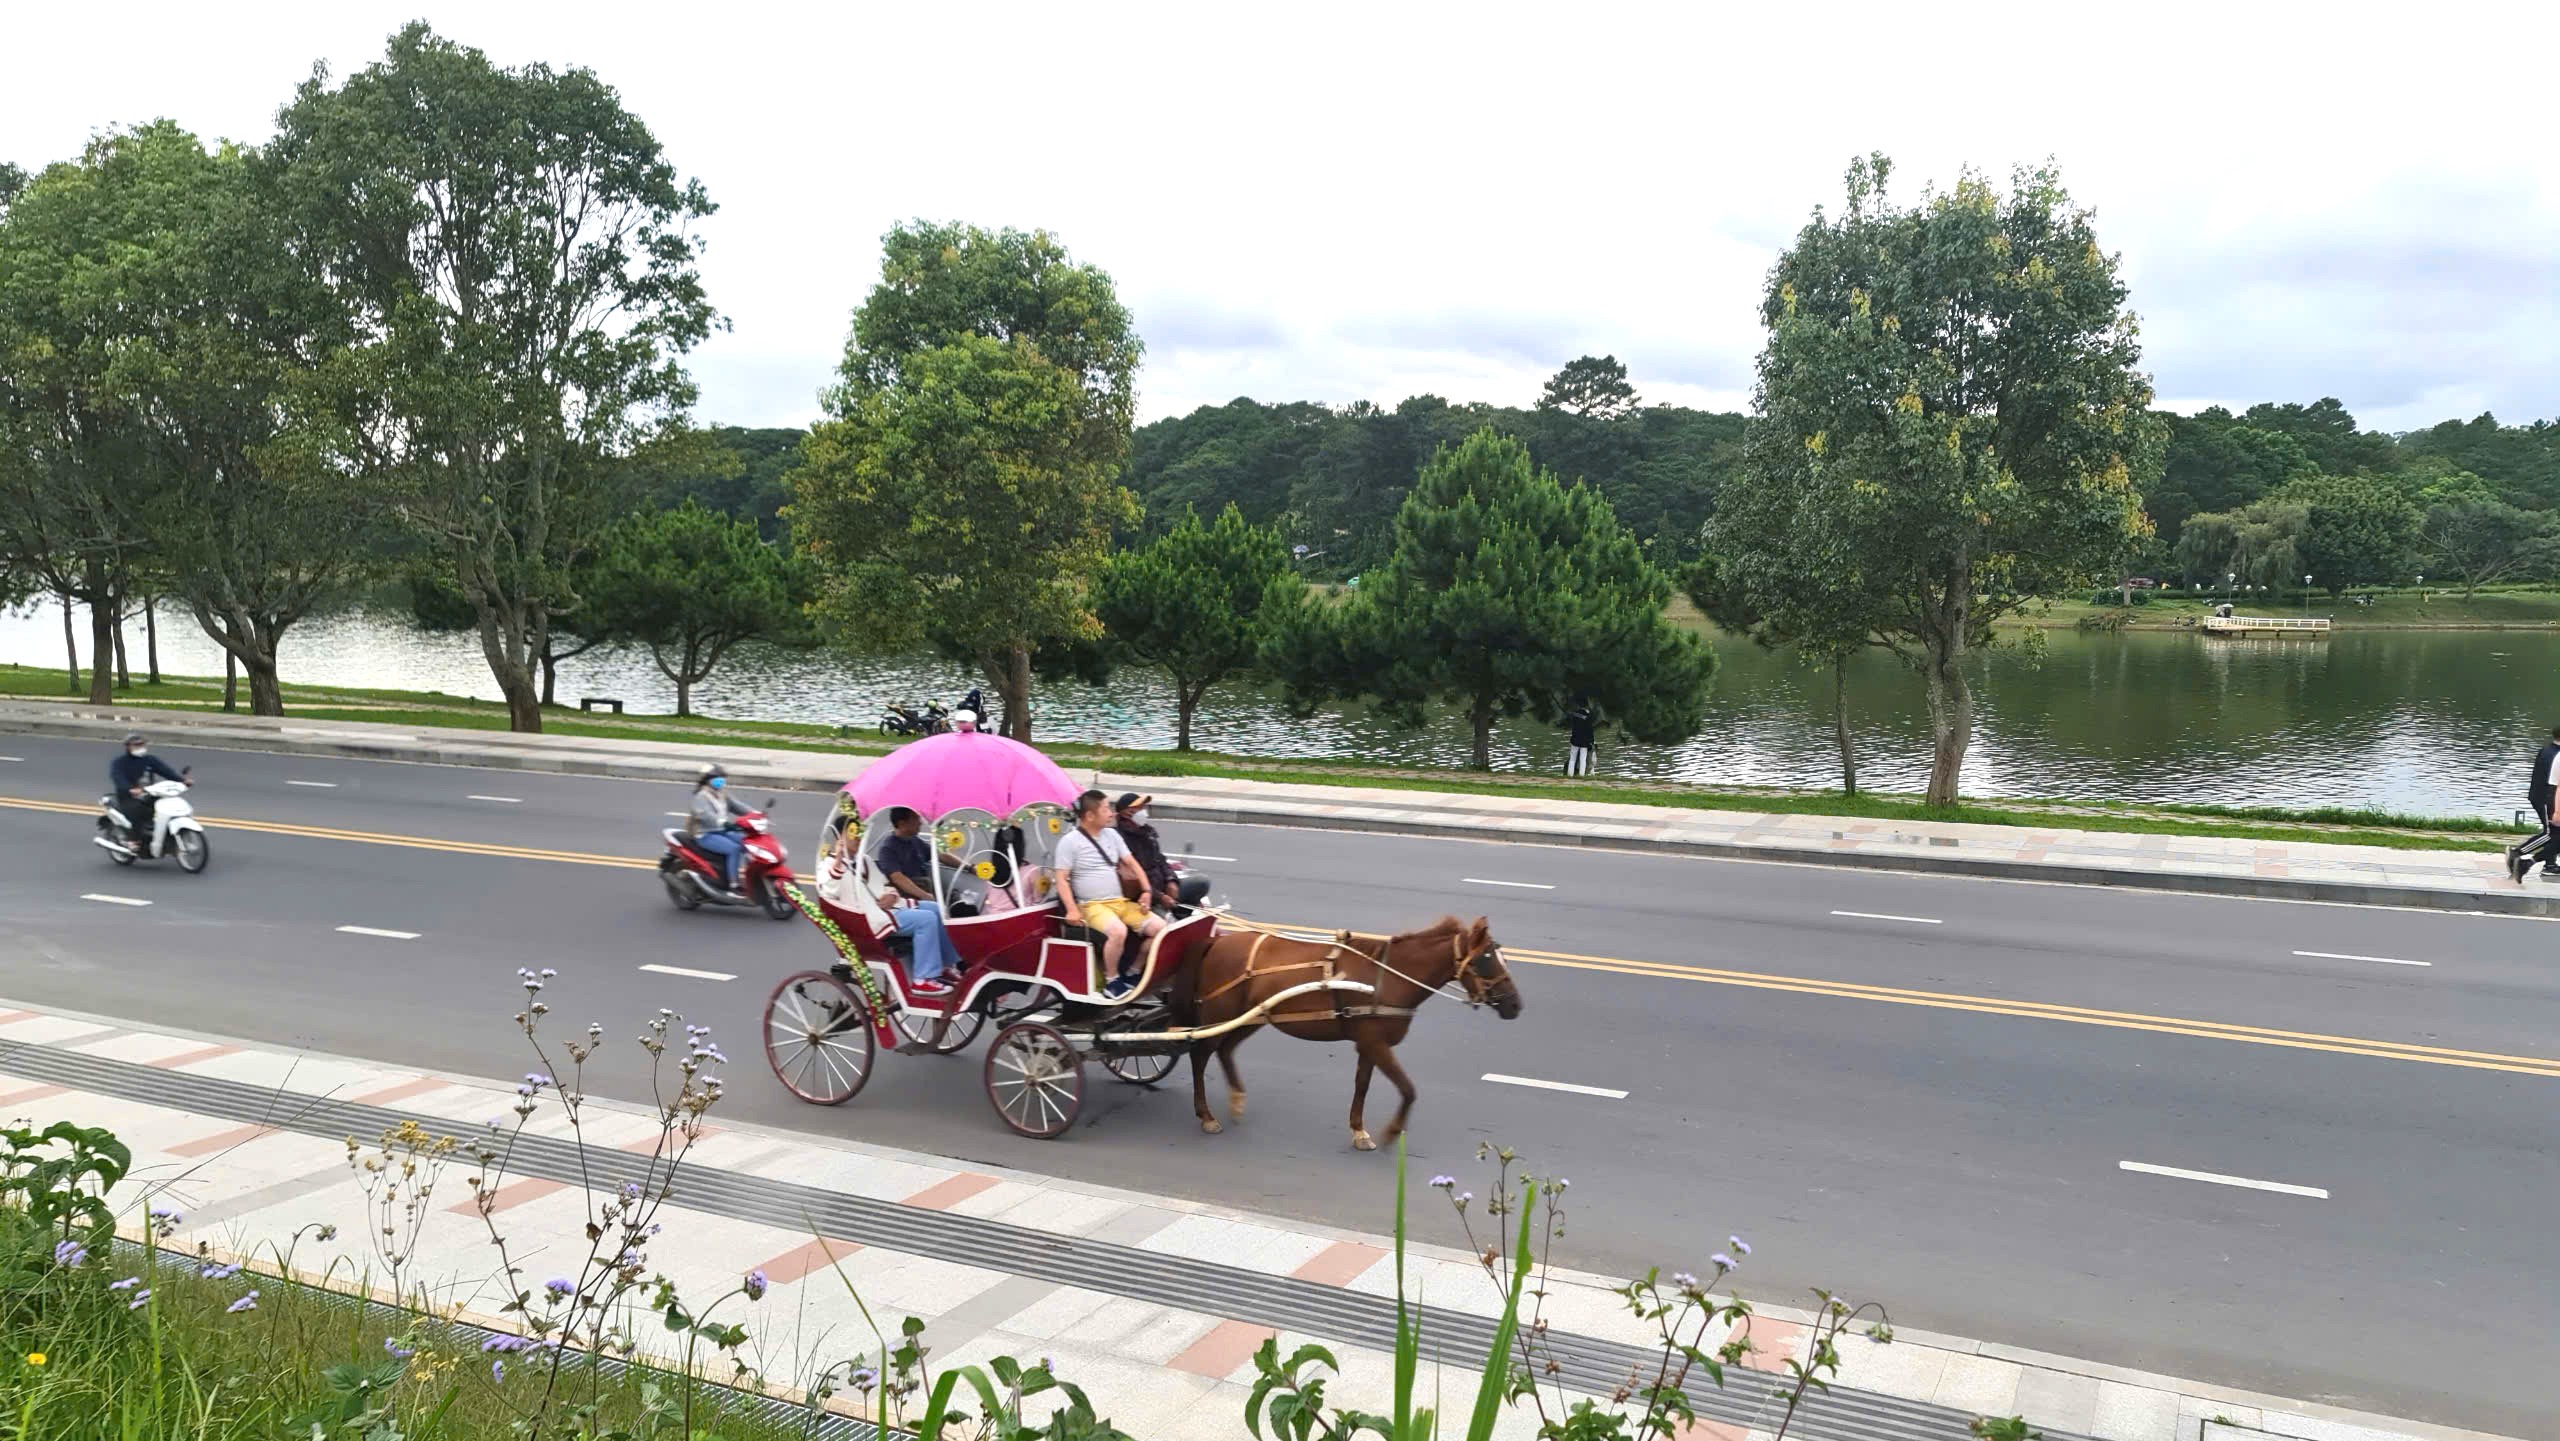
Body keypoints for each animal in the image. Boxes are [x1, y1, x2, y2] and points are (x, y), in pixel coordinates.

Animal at [1172, 926, 1515, 1151]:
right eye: (1486, 959)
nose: (1515, 1004)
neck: (1388, 976)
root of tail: (1215, 942)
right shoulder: (1375, 1043)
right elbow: (1408, 1089)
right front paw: (1392, 1131)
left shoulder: (1368, 1044)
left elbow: (1362, 1085)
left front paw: (1359, 1131)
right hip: (1218, 1017)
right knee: (1200, 1056)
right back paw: (1206, 1115)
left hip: (1251, 1017)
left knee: (1225, 1050)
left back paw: (1236, 1100)